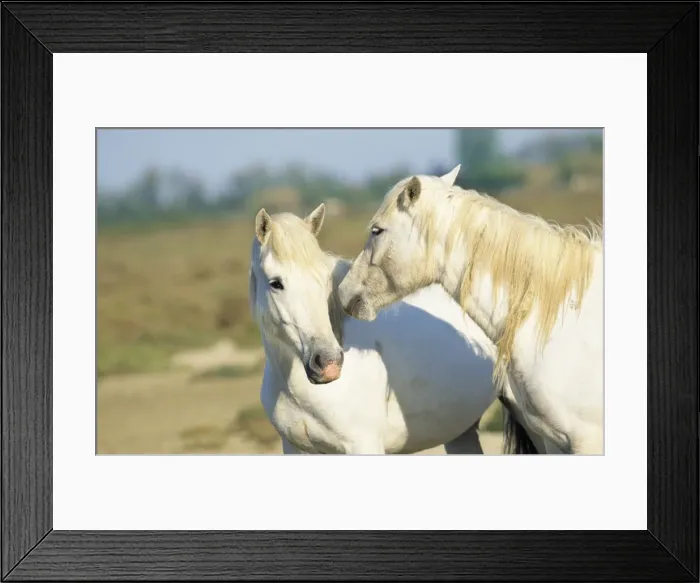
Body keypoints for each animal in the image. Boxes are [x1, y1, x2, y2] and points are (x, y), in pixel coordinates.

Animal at [248, 202, 543, 454]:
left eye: (324, 279)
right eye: (276, 283)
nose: (328, 362)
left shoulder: (363, 446)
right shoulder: (295, 449)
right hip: (461, 430)